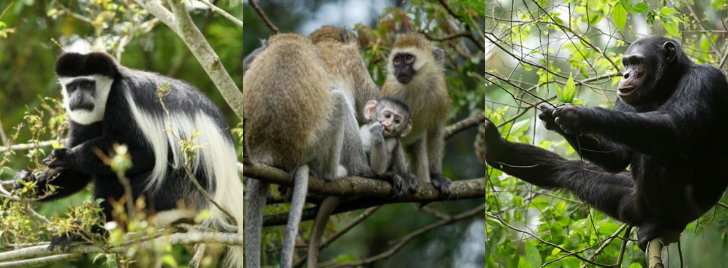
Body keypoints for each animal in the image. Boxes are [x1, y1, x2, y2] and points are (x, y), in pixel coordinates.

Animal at [13, 52, 245, 268]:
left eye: (87, 85)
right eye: (72, 86)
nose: (77, 98)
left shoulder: (121, 100)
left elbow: (145, 153)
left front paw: (71, 157)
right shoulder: (81, 119)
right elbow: (76, 175)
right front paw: (26, 182)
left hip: (181, 191)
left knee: (115, 177)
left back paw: (89, 231)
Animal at [382, 34, 450, 195]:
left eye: (408, 58)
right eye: (397, 60)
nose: (400, 68)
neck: (416, 86)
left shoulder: (440, 95)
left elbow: (436, 130)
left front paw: (436, 175)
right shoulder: (392, 92)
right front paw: (405, 175)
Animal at [486, 35, 728, 249]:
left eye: (637, 62)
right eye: (626, 63)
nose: (626, 74)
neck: (667, 84)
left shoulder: (706, 79)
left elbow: (675, 126)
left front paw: (579, 115)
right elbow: (617, 156)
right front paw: (554, 120)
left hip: (685, 209)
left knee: (657, 156)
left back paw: (661, 223)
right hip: (628, 201)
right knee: (565, 170)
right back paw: (497, 148)